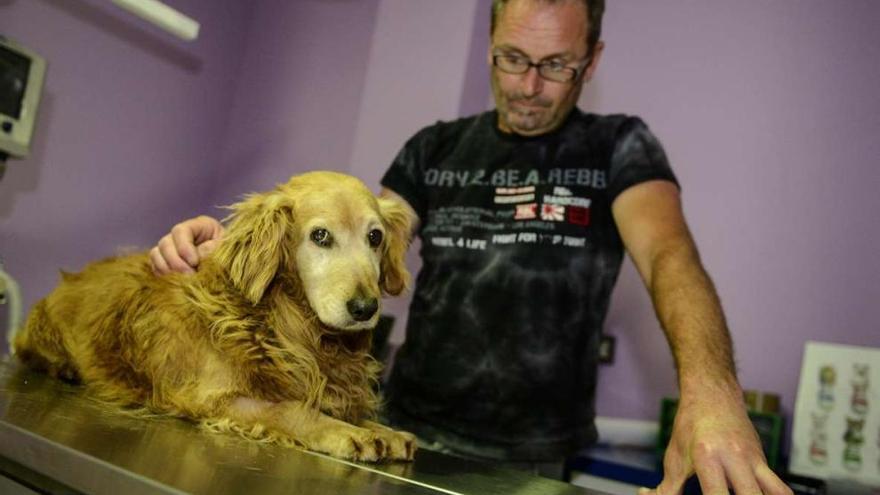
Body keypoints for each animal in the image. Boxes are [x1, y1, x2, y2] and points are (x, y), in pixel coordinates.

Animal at [11, 172, 416, 464]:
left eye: (375, 237)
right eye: (320, 235)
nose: (365, 308)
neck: (280, 322)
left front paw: (383, 431)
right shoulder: (214, 399)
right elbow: (291, 410)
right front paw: (351, 433)